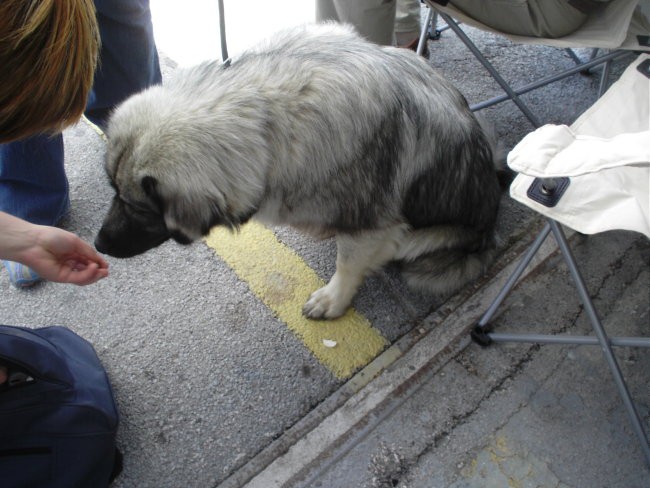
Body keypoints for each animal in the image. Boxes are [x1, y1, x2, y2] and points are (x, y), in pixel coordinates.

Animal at [95, 22, 502, 320]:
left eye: (139, 209)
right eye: (112, 191)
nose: (98, 244)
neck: (264, 109)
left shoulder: (370, 224)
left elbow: (348, 263)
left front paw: (333, 300)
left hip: (425, 240)